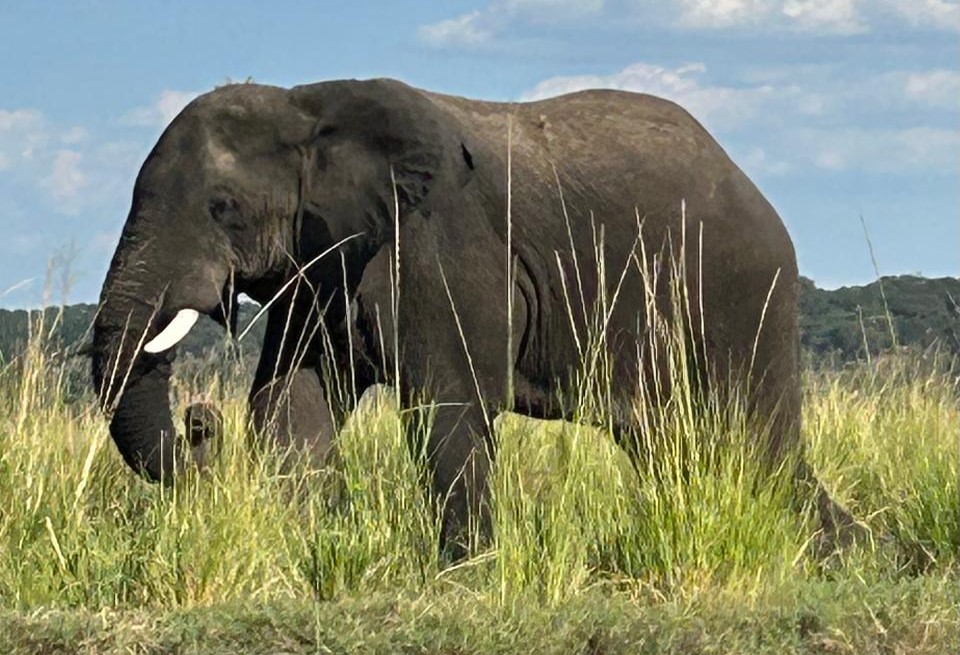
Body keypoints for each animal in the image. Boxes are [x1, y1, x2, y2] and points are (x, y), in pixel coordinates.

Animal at [92, 77, 856, 554]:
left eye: (222, 207)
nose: (199, 420)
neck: (305, 105)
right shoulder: (321, 264)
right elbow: (289, 405)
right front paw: (303, 547)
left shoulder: (446, 247)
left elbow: (448, 403)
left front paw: (463, 574)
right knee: (681, 444)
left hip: (741, 293)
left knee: (754, 441)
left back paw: (842, 554)